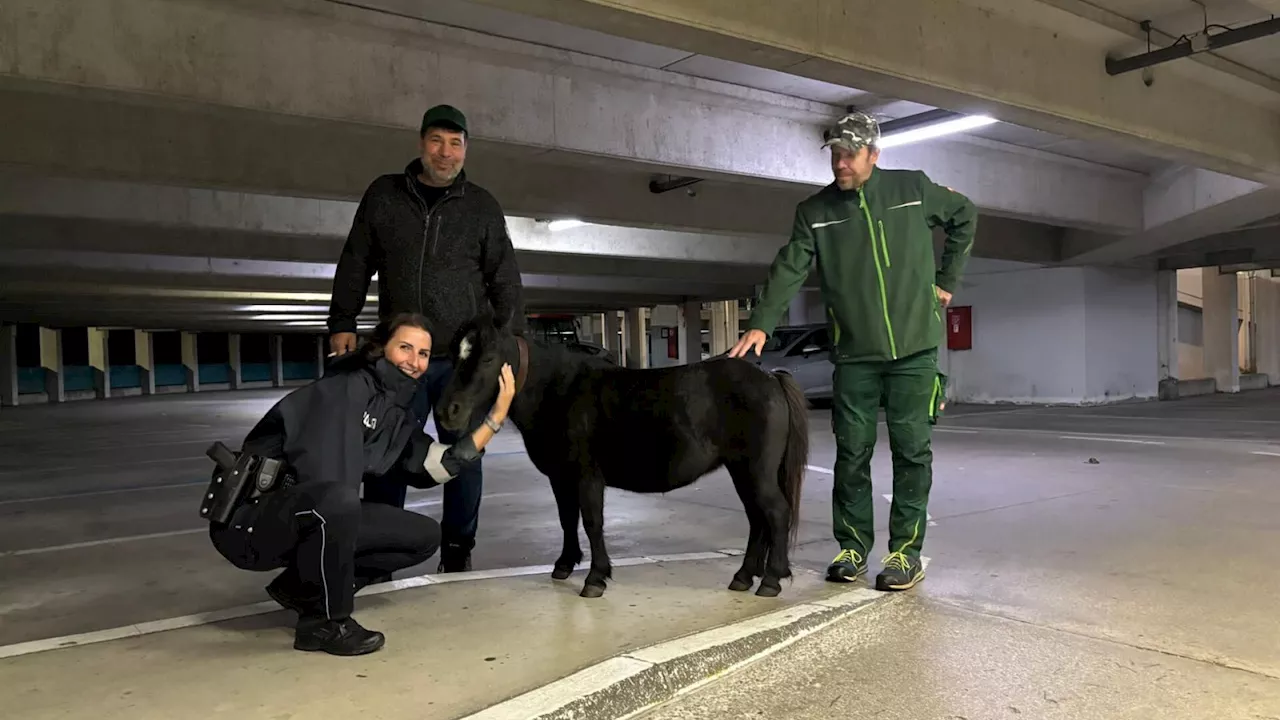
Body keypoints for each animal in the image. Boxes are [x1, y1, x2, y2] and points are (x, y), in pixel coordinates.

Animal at [435, 311, 803, 597]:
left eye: (487, 357)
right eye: (455, 356)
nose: (447, 412)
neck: (557, 390)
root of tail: (770, 378)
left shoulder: (587, 476)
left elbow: (592, 522)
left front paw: (595, 579)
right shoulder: (560, 477)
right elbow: (567, 519)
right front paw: (564, 565)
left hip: (755, 470)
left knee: (775, 513)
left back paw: (771, 580)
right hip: (741, 469)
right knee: (758, 518)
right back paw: (743, 577)